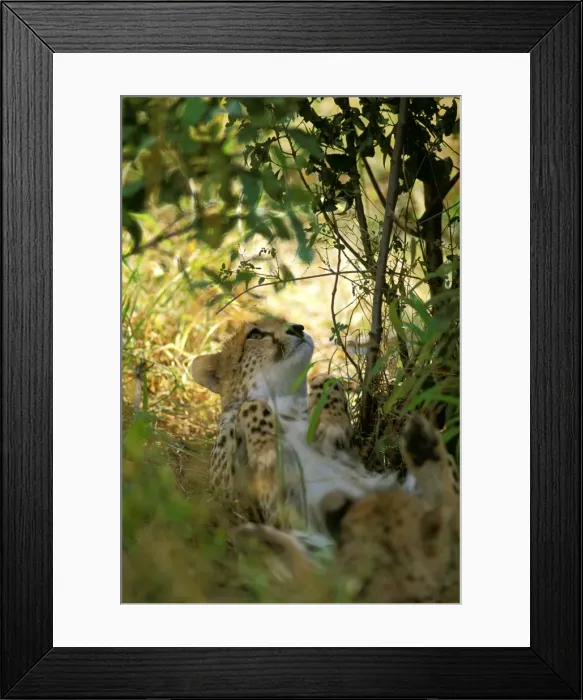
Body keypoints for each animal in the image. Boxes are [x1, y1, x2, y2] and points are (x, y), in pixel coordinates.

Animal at [190, 315, 416, 533]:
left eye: (283, 320)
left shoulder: (346, 452)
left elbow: (325, 377)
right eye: (254, 334)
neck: (283, 395)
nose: (297, 328)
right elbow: (251, 405)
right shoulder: (245, 506)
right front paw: (269, 448)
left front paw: (330, 422)